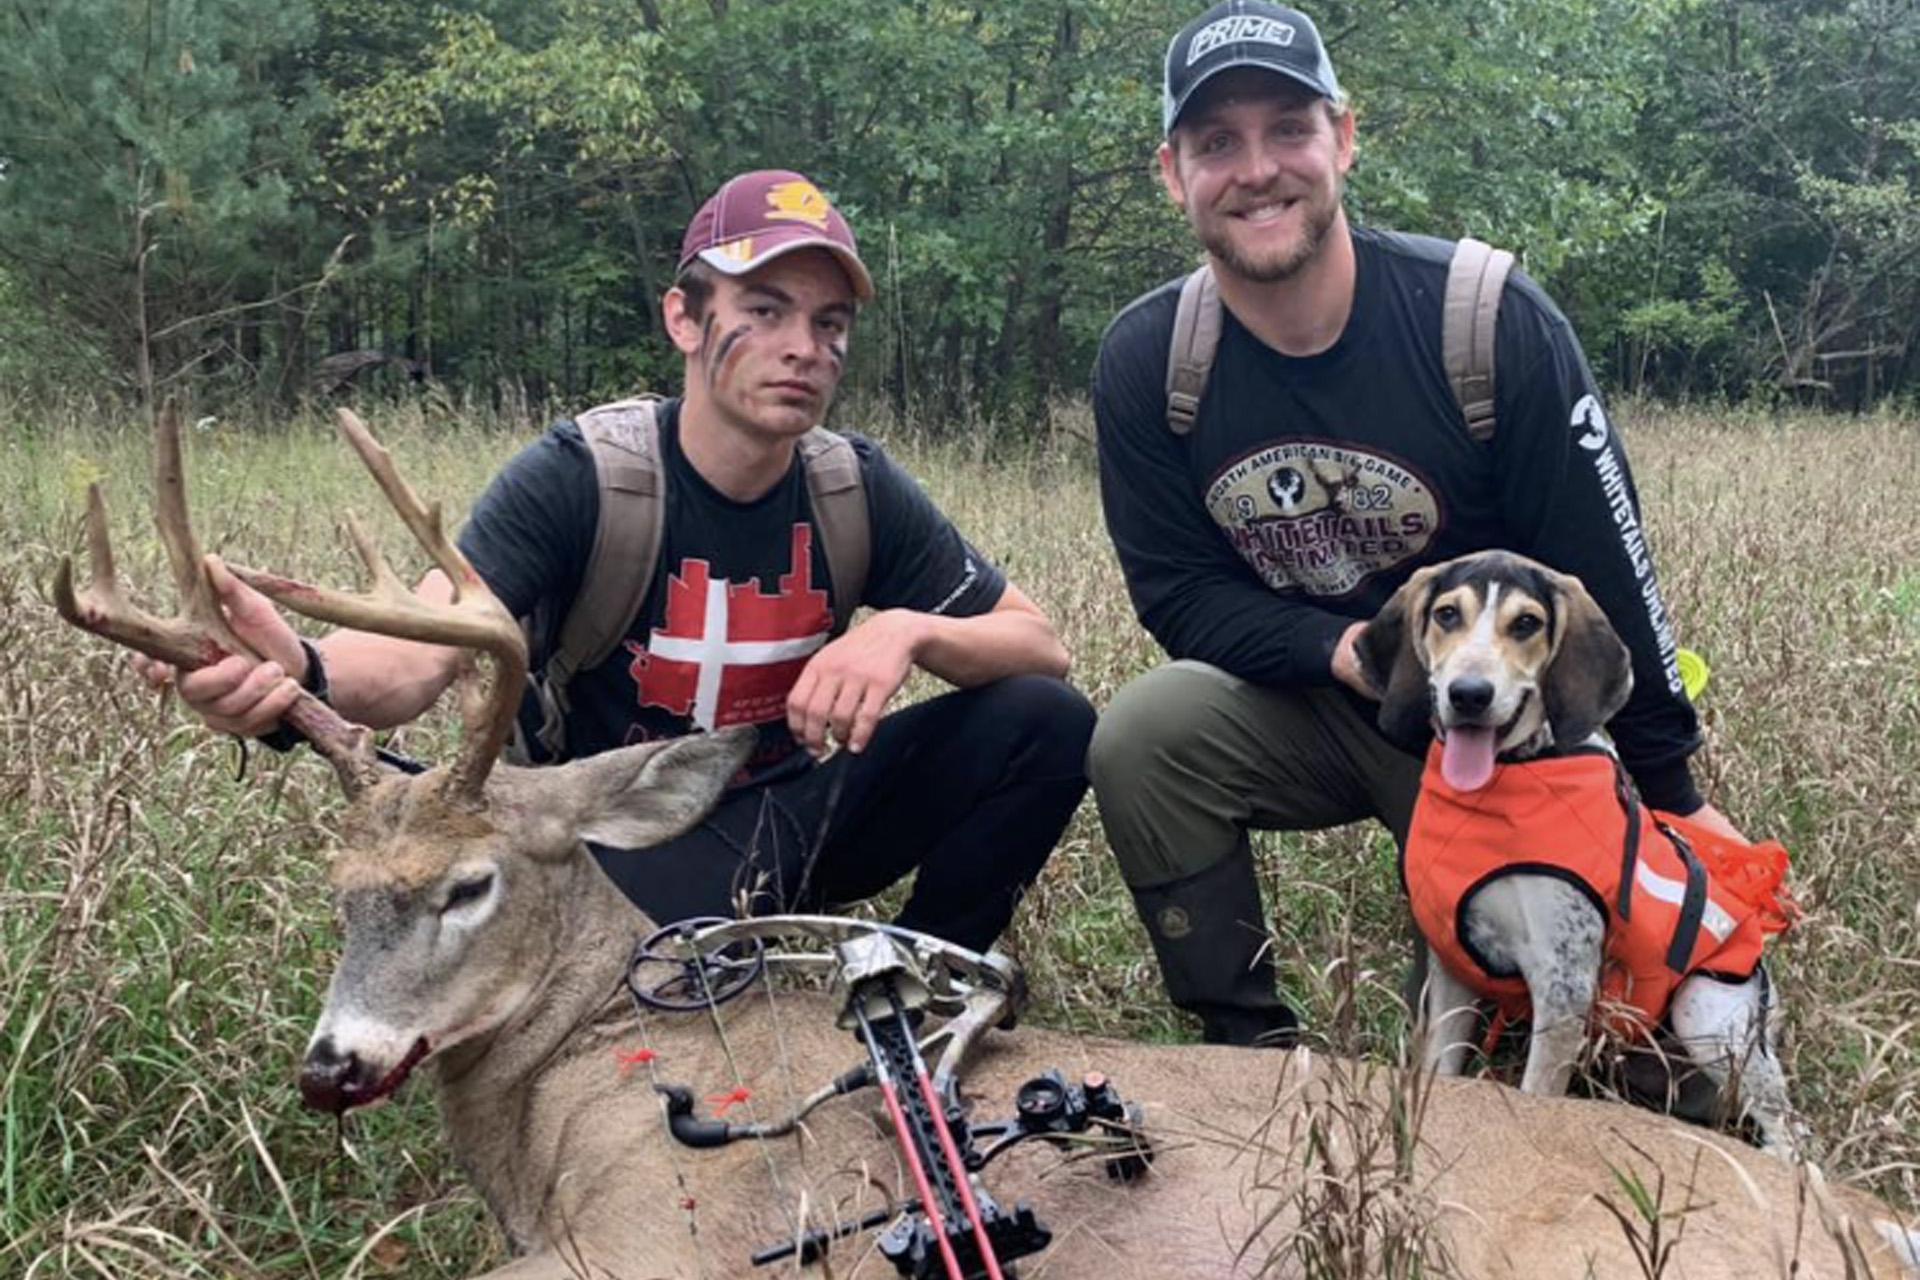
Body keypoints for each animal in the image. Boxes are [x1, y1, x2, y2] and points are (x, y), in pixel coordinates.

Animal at [1359, 548, 1789, 1151]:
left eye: (1526, 623)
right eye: (1446, 614)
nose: (1469, 694)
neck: (1506, 782)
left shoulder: (1563, 985)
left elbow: (1537, 1096)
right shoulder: (1452, 970)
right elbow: (1440, 1072)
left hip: (1705, 1010)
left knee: (1789, 1129)